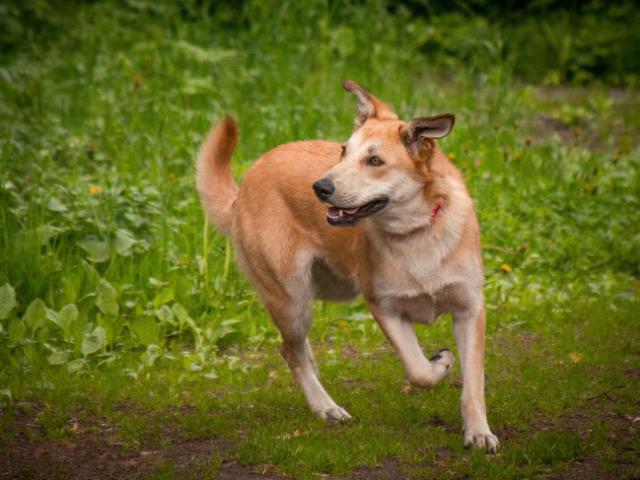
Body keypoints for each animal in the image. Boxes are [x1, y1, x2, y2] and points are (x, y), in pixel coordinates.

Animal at [195, 79, 500, 450]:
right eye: (343, 151)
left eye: (374, 160)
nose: (319, 187)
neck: (416, 232)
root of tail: (247, 182)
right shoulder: (383, 306)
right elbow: (418, 369)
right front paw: (440, 363)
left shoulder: (470, 310)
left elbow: (474, 384)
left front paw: (478, 432)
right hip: (292, 300)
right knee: (290, 351)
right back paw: (325, 407)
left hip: (329, 290)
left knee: (299, 350)